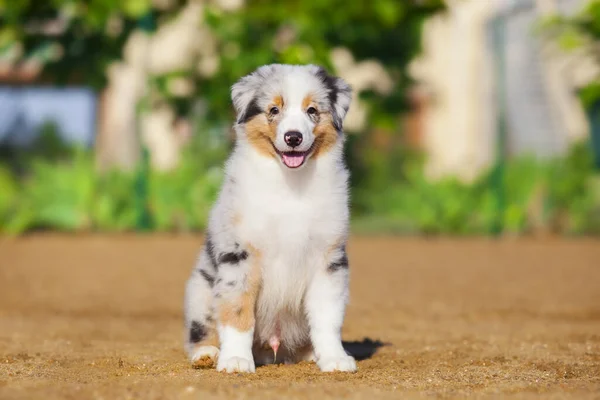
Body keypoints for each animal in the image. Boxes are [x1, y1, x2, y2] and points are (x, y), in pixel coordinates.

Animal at [180, 64, 354, 374]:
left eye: (312, 110)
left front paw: (335, 358)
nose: (293, 137)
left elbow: (327, 317)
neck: (290, 184)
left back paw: (311, 354)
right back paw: (207, 354)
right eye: (274, 110)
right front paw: (236, 360)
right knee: (201, 330)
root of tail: (271, 349)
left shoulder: (329, 257)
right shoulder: (239, 254)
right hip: (199, 291)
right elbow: (237, 312)